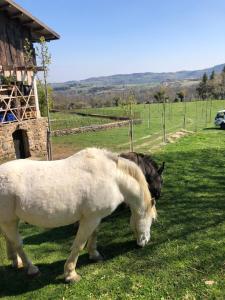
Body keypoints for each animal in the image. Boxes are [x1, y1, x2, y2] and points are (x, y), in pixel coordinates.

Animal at [0, 149, 156, 282]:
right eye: (153, 220)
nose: (145, 241)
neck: (112, 179)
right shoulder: (89, 219)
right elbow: (79, 245)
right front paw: (70, 273)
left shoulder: (95, 218)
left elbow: (94, 235)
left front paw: (94, 255)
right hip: (9, 221)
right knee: (17, 243)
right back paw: (31, 268)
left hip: (8, 221)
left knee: (8, 238)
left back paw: (15, 261)